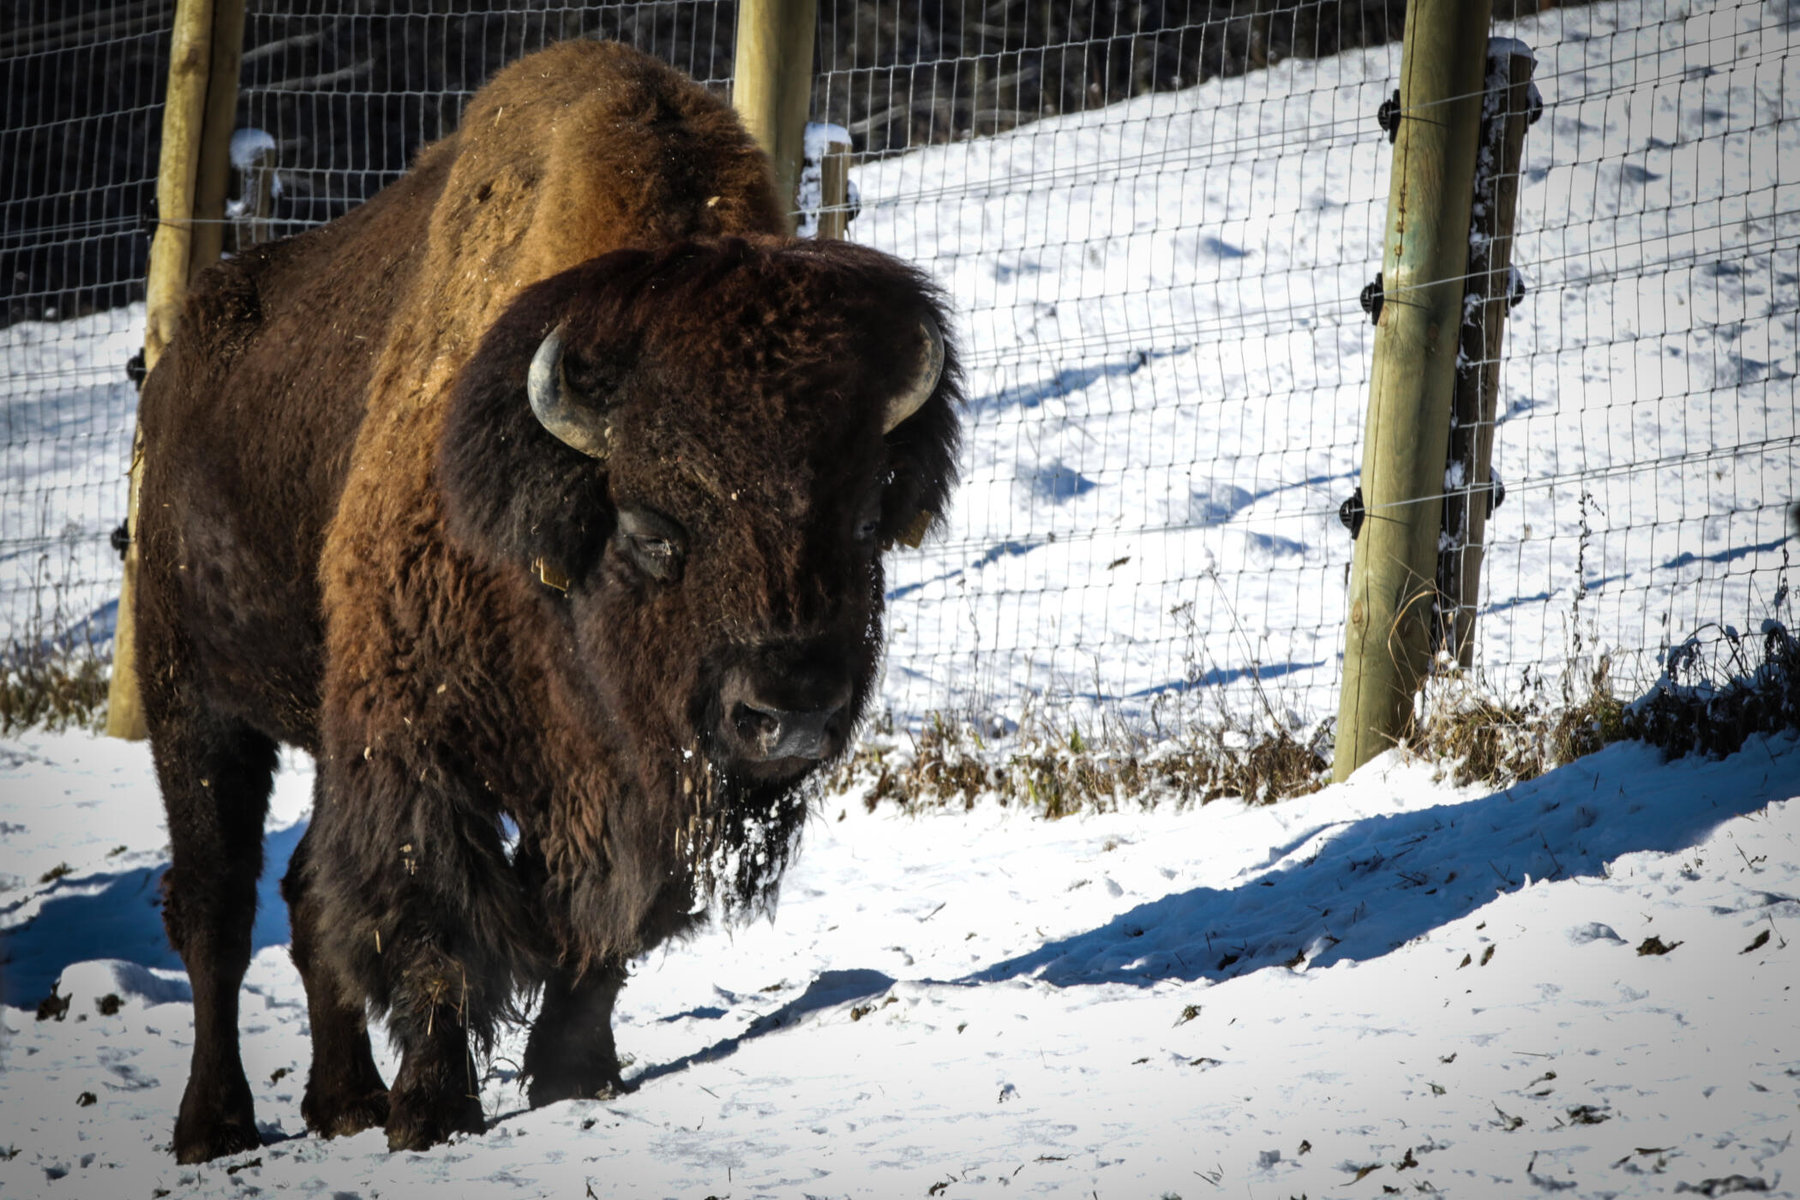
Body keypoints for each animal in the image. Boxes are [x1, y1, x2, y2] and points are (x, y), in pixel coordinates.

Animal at [136, 39, 957, 1165]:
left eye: (870, 517)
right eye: (652, 526)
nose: (787, 715)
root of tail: (177, 363)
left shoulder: (642, 780)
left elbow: (605, 924)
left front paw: (574, 1075)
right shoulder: (410, 739)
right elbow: (430, 912)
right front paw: (433, 1110)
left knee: (306, 900)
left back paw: (343, 1101)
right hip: (193, 698)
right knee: (218, 905)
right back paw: (215, 1124)